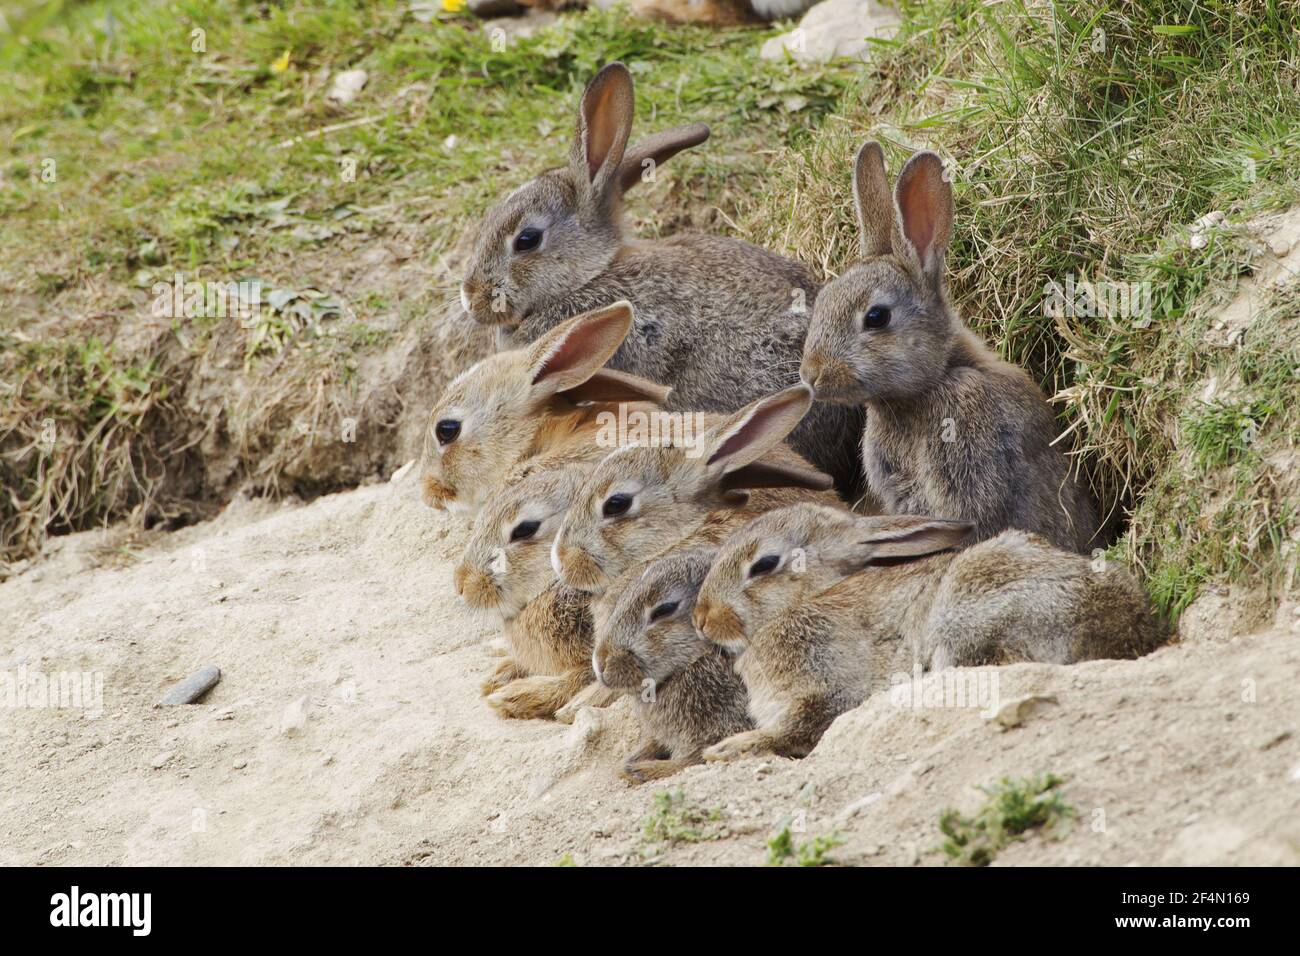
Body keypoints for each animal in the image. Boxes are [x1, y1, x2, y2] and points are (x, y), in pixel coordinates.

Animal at [696, 502, 1164, 764]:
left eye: (764, 564)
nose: (701, 618)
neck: (807, 598)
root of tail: (1119, 629)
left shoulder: (828, 686)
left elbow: (796, 729)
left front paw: (729, 748)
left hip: (963, 611)